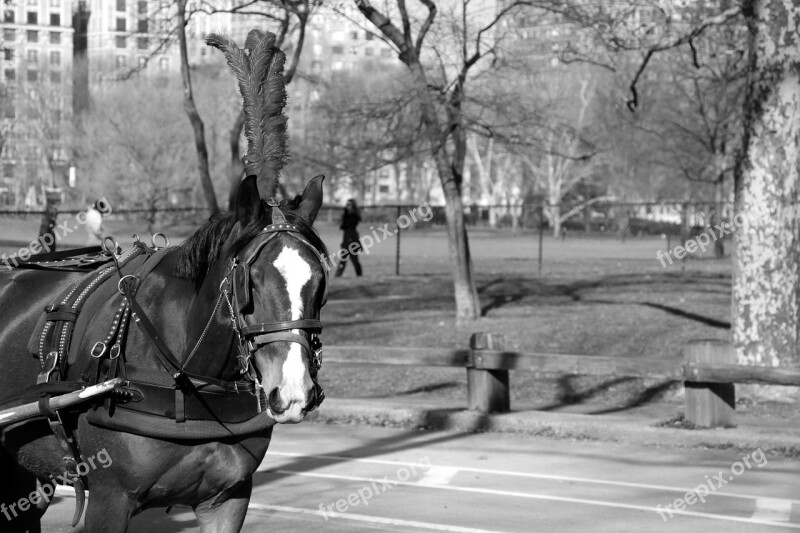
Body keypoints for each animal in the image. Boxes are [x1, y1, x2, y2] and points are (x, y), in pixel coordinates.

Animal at [0, 174, 330, 528]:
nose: (294, 391)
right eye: (250, 280)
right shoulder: (109, 501)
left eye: (319, 281)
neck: (187, 377)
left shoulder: (228, 500)